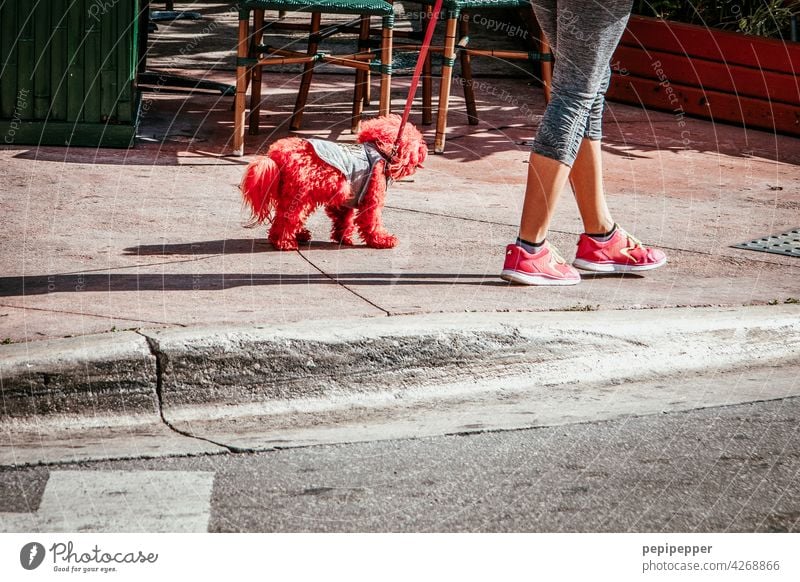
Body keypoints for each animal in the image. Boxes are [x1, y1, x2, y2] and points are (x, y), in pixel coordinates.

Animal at [241, 115, 428, 250]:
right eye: (418, 142)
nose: (425, 150)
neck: (380, 150)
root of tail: (277, 155)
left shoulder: (344, 199)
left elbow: (343, 218)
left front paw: (342, 237)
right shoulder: (371, 199)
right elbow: (372, 220)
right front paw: (383, 240)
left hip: (293, 194)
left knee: (287, 216)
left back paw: (296, 235)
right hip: (299, 195)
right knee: (287, 218)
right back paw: (284, 242)